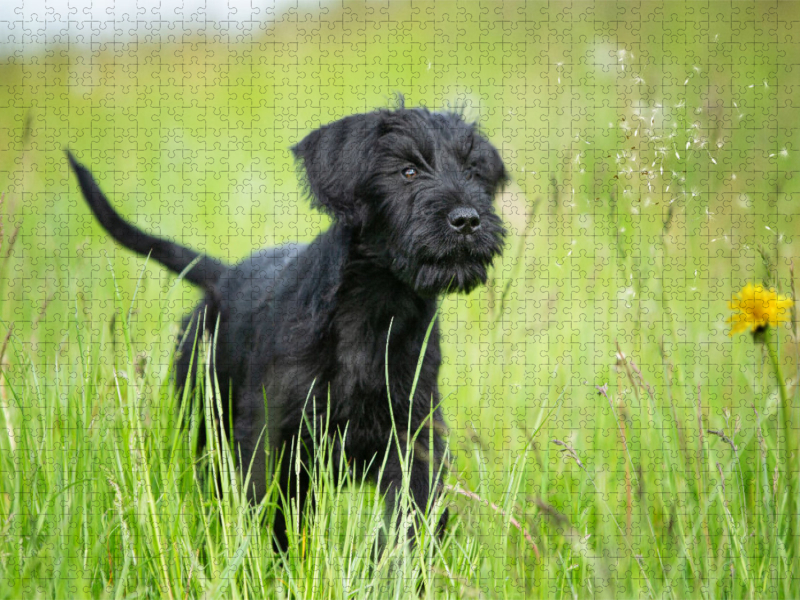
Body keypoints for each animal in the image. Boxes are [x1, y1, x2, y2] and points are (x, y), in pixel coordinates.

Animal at [67, 102, 506, 548]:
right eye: (408, 171)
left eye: (473, 171)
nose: (468, 220)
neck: (376, 308)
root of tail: (221, 277)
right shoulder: (271, 435)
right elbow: (269, 511)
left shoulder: (414, 435)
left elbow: (411, 515)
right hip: (205, 418)